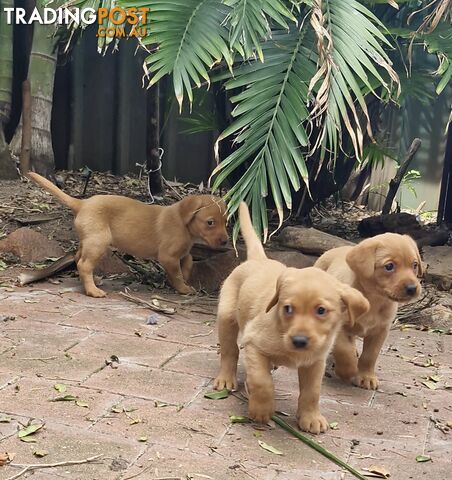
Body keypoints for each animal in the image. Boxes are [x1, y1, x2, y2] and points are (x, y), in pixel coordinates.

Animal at [26, 172, 228, 298]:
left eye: (226, 221)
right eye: (210, 222)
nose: (226, 241)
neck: (183, 223)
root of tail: (82, 203)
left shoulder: (182, 252)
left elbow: (187, 262)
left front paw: (183, 277)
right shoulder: (167, 256)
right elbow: (177, 273)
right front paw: (183, 287)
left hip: (89, 240)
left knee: (78, 258)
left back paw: (92, 281)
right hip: (98, 242)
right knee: (84, 264)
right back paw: (93, 290)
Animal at [212, 202, 368, 436]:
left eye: (321, 310)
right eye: (288, 308)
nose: (300, 341)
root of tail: (260, 260)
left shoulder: (315, 362)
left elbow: (312, 392)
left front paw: (311, 418)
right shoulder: (253, 343)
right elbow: (261, 381)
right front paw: (262, 411)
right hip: (227, 316)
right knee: (230, 351)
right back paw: (226, 379)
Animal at [314, 232, 424, 390]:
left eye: (414, 265)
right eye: (389, 266)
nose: (412, 288)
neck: (373, 300)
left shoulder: (380, 331)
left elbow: (370, 355)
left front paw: (366, 377)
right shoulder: (339, 325)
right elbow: (343, 349)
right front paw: (348, 370)